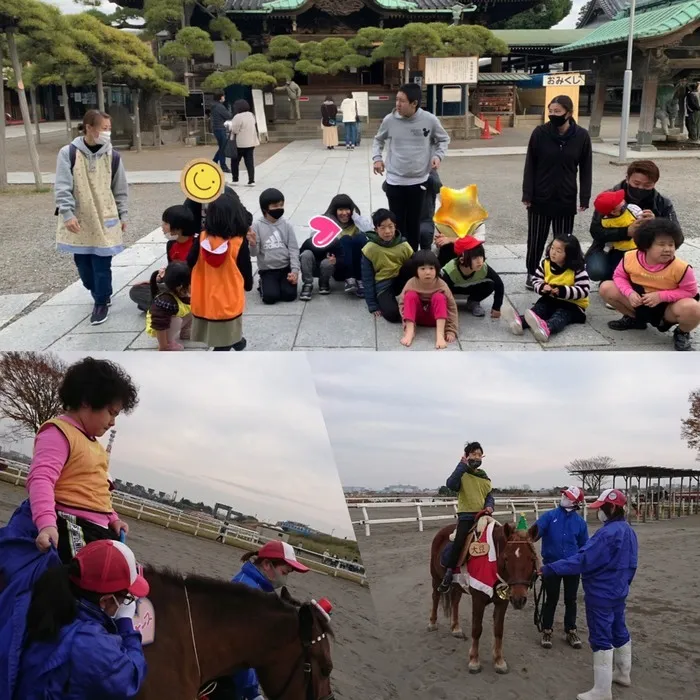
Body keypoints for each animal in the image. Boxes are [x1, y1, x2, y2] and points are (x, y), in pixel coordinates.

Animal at [430, 520, 540, 672]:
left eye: (532, 559)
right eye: (506, 558)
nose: (519, 599)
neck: (492, 565)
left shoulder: (502, 602)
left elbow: (499, 630)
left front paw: (499, 660)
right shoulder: (478, 600)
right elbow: (477, 629)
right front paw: (474, 660)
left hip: (458, 585)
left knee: (455, 602)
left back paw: (456, 628)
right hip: (436, 578)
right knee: (435, 597)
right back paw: (432, 623)